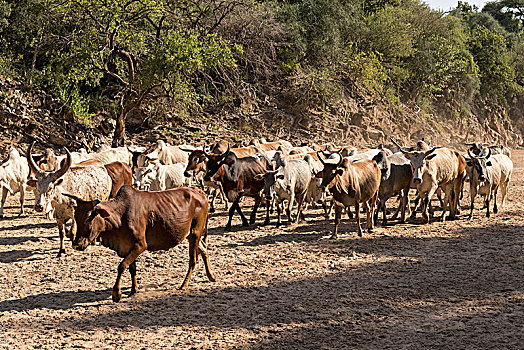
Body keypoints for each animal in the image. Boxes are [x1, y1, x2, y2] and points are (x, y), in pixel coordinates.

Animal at [66, 185, 216, 302]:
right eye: (76, 218)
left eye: (89, 217)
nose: (77, 245)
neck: (120, 215)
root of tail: (200, 192)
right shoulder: (128, 246)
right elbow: (132, 268)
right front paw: (133, 290)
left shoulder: (140, 245)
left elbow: (122, 266)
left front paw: (116, 294)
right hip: (190, 235)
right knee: (204, 249)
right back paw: (211, 276)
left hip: (196, 232)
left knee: (193, 260)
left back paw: (184, 284)